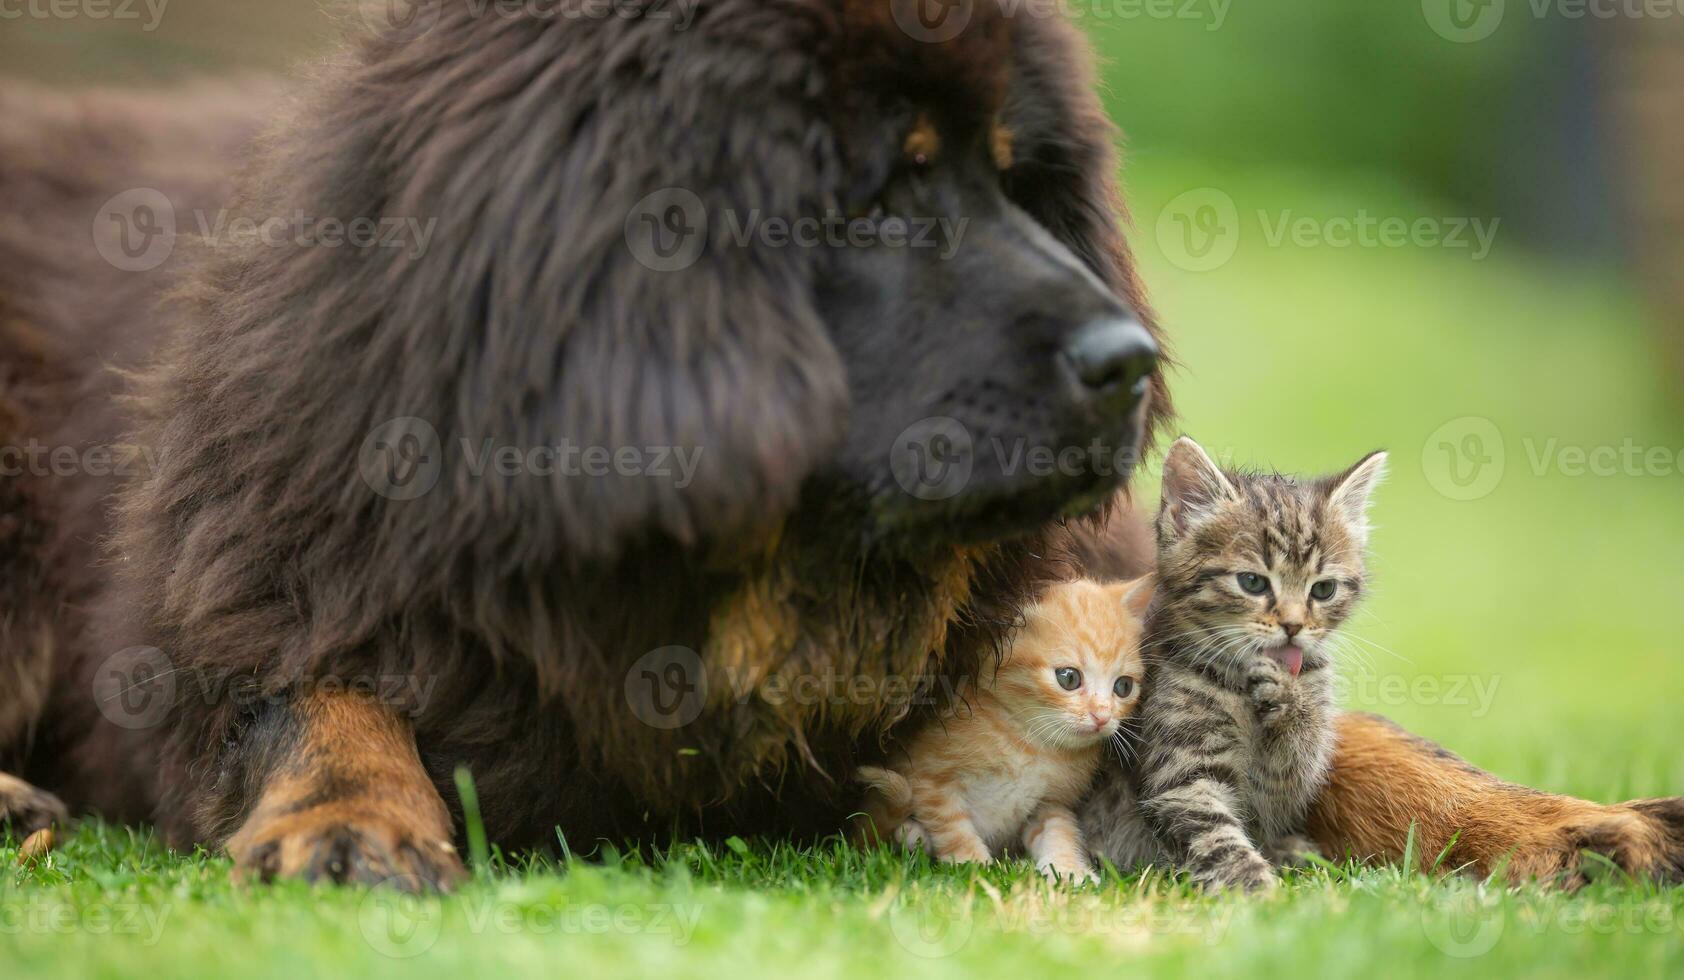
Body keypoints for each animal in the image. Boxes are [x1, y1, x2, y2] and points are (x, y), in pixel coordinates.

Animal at [862, 579, 1151, 889]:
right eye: (1069, 677)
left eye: (1123, 686)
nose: (1102, 716)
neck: (1031, 744)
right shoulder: (928, 776)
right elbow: (952, 827)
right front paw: (974, 867)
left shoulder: (1049, 802)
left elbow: (1059, 832)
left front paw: (1070, 870)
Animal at [1084, 441, 1387, 895]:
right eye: (1253, 583)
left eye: (1323, 589)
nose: (1293, 626)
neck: (1239, 684)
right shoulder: (1181, 770)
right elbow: (1214, 833)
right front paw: (1253, 885)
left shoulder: (1284, 781)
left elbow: (1294, 764)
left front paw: (1289, 701)